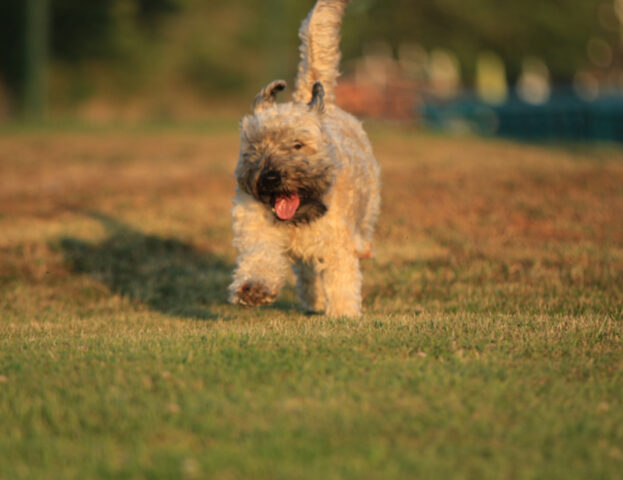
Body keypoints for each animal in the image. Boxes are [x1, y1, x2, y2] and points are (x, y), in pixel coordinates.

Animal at [229, 0, 380, 316]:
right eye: (256, 147)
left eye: (297, 145)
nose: (271, 176)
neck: (299, 216)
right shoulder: (258, 230)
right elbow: (260, 259)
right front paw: (254, 289)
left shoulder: (336, 242)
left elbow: (342, 279)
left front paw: (344, 315)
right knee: (308, 274)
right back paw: (313, 300)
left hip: (369, 205)